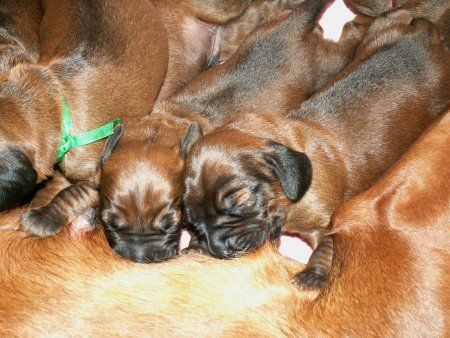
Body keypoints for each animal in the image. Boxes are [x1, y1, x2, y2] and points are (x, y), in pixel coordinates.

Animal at [97, 0, 370, 262]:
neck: (172, 120)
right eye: (108, 222)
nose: (138, 259)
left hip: (331, 62)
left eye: (171, 222)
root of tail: (294, 24)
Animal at [182, 10, 450, 290]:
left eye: (242, 201)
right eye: (192, 221)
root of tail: (424, 32)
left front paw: (312, 274)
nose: (220, 250)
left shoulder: (328, 222)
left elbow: (327, 245)